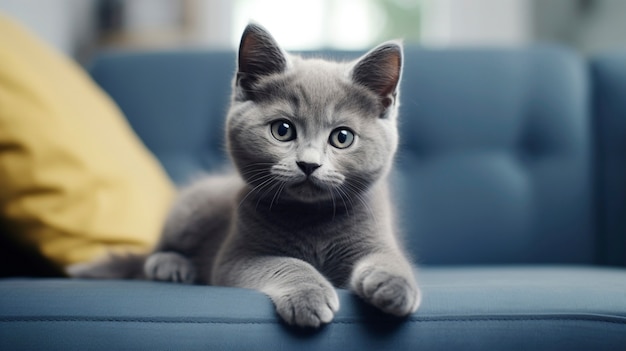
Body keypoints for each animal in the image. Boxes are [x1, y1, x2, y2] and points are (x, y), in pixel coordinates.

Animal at [69, 23, 420, 328]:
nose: (309, 164)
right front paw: (309, 295)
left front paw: (396, 286)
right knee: (154, 252)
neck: (312, 220)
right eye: (283, 130)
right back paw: (171, 265)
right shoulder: (237, 258)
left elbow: (389, 259)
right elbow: (288, 264)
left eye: (342, 137)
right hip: (189, 212)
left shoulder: (375, 238)